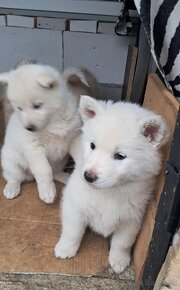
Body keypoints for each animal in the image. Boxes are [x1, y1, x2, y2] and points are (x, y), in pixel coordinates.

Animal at [0, 64, 83, 204]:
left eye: (37, 106)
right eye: (19, 108)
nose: (28, 128)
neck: (53, 121)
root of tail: (29, 176)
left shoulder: (74, 137)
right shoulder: (34, 148)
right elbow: (44, 170)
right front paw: (47, 191)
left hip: (60, 161)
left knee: (55, 172)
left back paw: (64, 177)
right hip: (10, 162)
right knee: (13, 177)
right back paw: (11, 189)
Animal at [54, 96, 169, 274]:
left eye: (120, 156)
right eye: (92, 145)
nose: (88, 176)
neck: (110, 192)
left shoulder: (132, 218)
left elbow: (122, 242)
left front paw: (119, 260)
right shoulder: (74, 205)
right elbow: (73, 230)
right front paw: (66, 248)